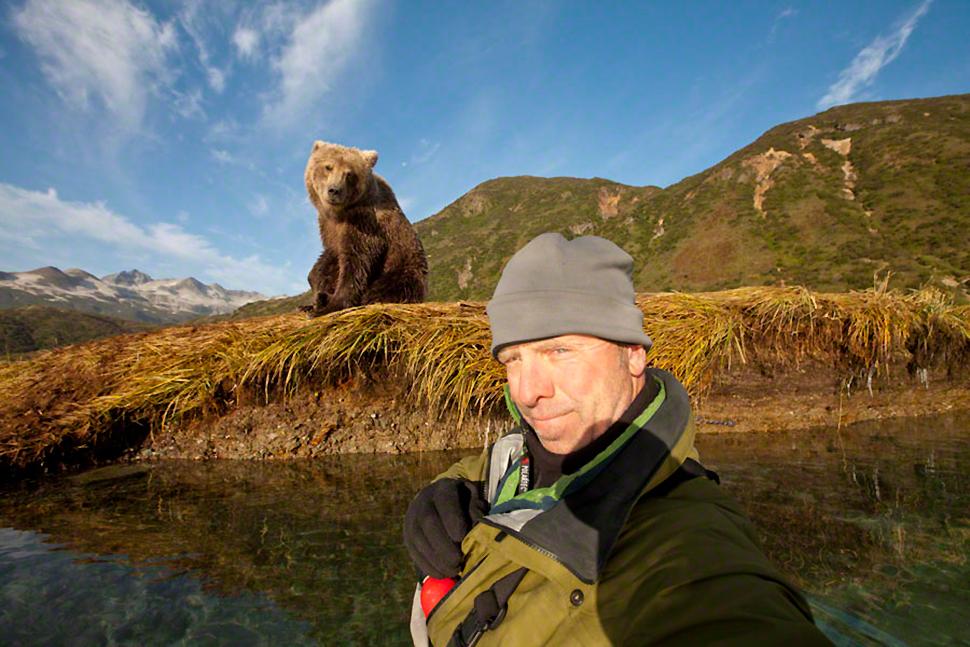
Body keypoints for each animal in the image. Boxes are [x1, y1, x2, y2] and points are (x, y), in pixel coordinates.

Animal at [300, 140, 426, 318]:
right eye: (328, 167)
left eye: (349, 174)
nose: (334, 190)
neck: (339, 213)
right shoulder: (327, 226)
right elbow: (329, 258)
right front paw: (315, 295)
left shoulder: (365, 222)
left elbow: (357, 261)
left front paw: (331, 306)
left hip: (403, 267)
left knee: (389, 287)